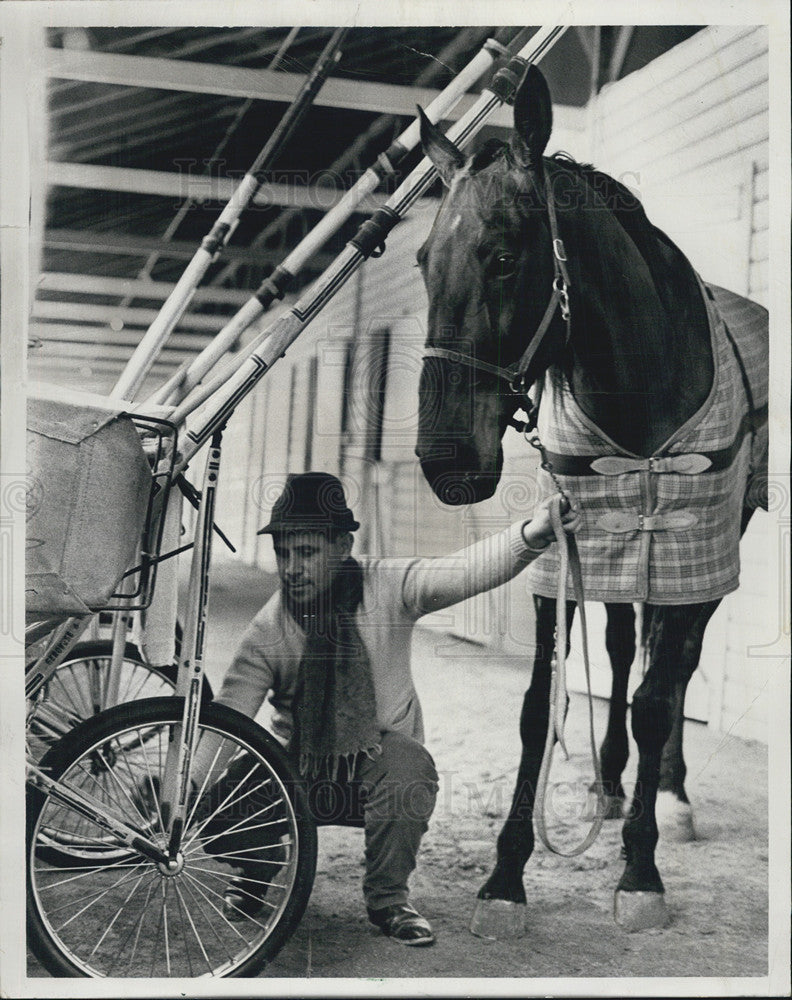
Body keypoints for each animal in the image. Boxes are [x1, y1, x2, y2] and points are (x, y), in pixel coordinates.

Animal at [414, 66, 768, 932]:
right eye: (423, 260)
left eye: (503, 256)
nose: (444, 460)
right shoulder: (561, 554)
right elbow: (540, 706)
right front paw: (507, 874)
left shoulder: (691, 552)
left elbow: (657, 697)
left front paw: (641, 870)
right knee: (617, 649)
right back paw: (608, 783)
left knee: (672, 671)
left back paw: (666, 793)